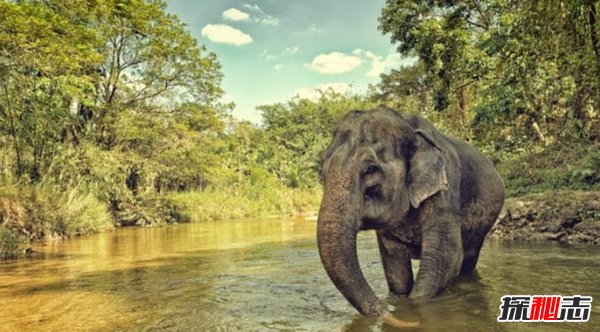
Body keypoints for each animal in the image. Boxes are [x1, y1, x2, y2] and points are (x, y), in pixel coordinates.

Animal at [316, 107, 504, 326]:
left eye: (370, 169)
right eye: (322, 166)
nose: (409, 322)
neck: (407, 125)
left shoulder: (444, 193)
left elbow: (445, 258)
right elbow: (395, 267)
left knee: (467, 259)